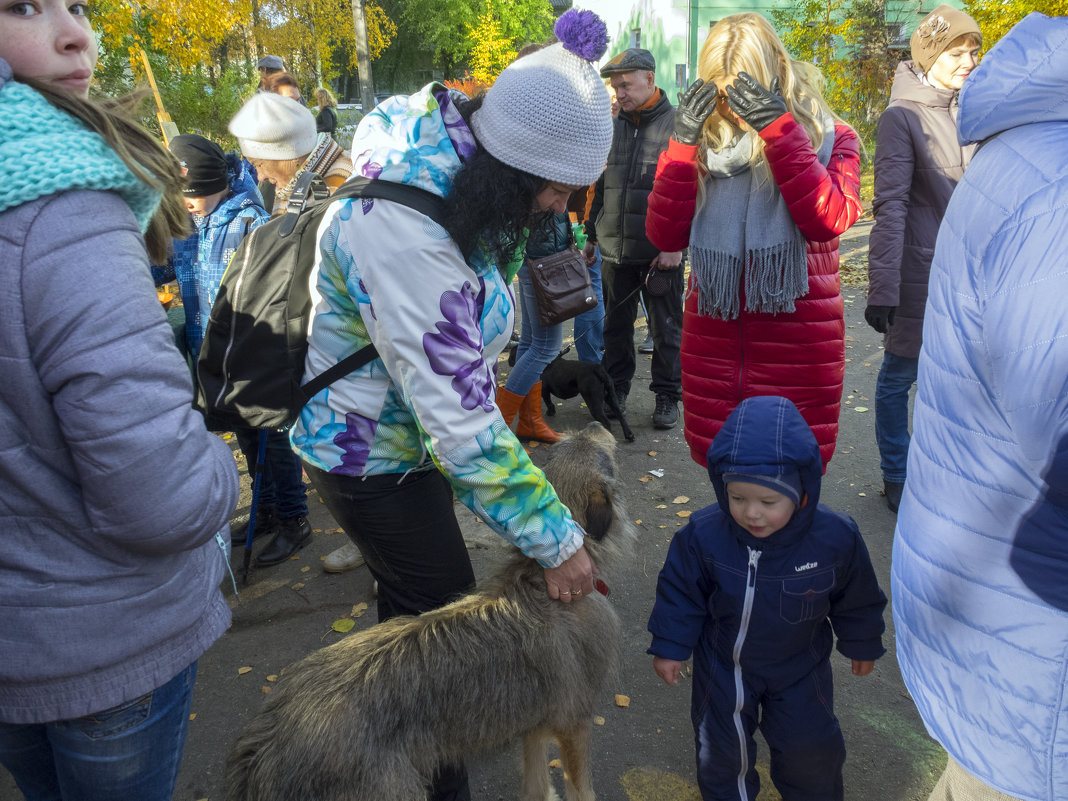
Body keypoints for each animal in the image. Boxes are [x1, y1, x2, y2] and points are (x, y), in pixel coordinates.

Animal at [226, 420, 636, 801]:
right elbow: (581, 789)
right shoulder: (574, 723)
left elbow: (536, 784)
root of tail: (266, 747)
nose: (596, 423)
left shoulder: (533, 719)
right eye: (600, 453)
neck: (538, 577)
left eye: (576, 443)